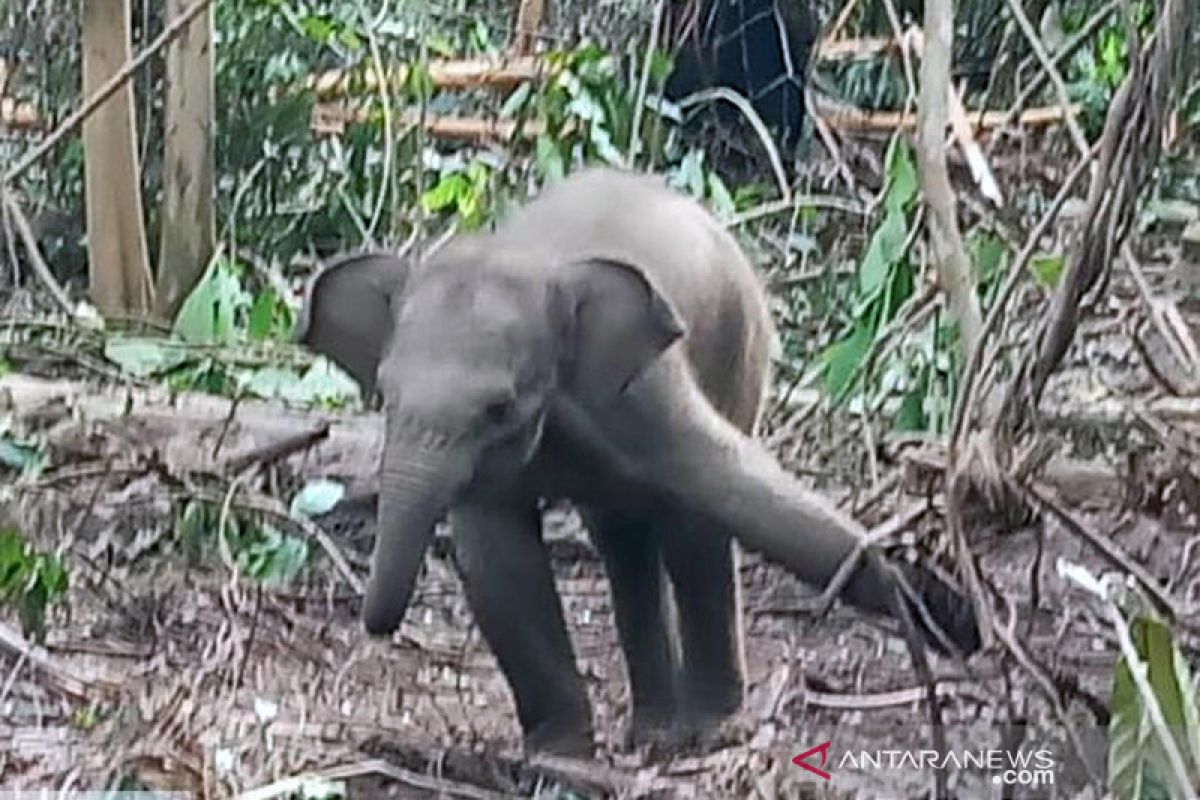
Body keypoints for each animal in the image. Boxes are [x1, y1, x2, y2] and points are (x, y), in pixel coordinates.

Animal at [295, 169, 979, 758]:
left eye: (499, 407)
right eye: (384, 394)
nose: (377, 625)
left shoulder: (648, 392)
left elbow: (725, 496)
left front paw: (939, 606)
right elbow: (498, 559)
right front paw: (559, 752)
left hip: (741, 346)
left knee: (686, 527)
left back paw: (686, 733)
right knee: (624, 541)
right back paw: (650, 732)